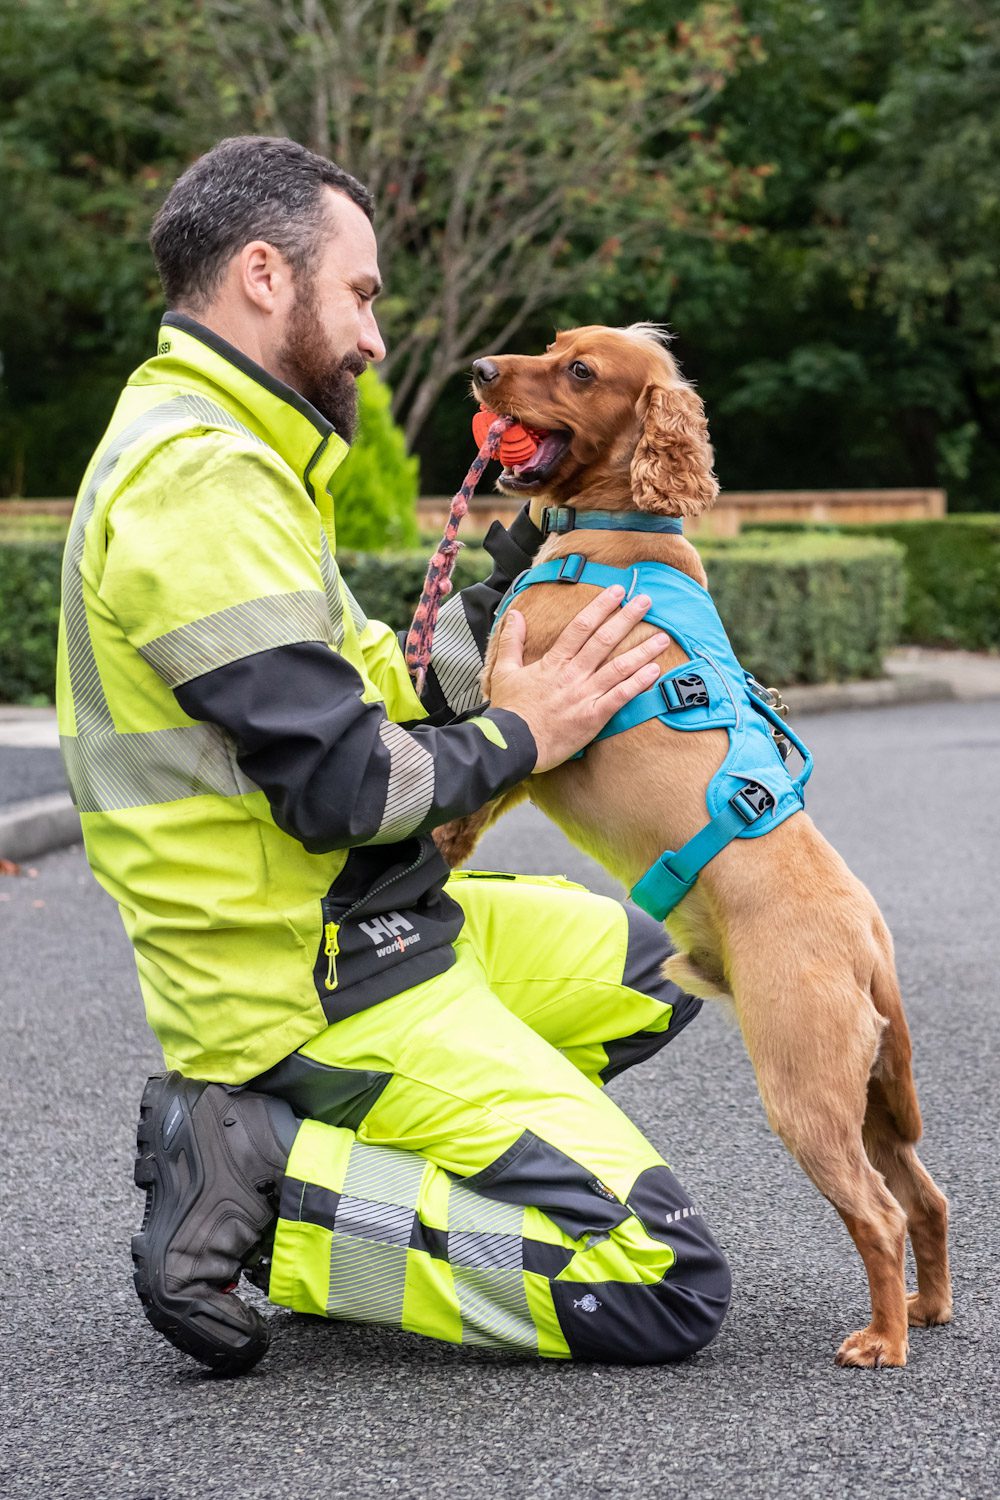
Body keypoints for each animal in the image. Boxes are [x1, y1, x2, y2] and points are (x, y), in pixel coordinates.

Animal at [437, 322, 953, 1368]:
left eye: (579, 370)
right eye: (550, 343)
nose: (478, 371)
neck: (623, 532)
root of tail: (869, 944)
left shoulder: (532, 717)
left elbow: (470, 799)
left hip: (805, 1090)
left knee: (878, 1214)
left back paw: (882, 1339)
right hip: (874, 1098)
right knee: (926, 1198)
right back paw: (928, 1309)